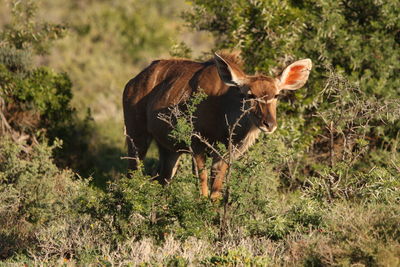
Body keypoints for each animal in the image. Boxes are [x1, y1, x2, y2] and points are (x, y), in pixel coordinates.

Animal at [123, 52, 310, 200]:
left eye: (276, 95)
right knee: (132, 174)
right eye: (250, 95)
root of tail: (132, 83)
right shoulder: (197, 144)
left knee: (162, 179)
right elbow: (203, 183)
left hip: (170, 150)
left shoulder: (225, 152)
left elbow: (216, 188)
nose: (269, 124)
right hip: (136, 136)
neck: (222, 109)